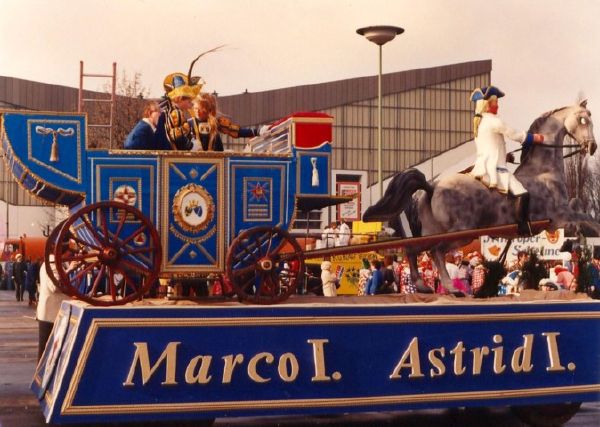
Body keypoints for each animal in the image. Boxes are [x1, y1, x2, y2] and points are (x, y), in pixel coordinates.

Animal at [364, 102, 596, 292]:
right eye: (583, 119)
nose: (592, 146)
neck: (543, 170)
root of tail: (432, 186)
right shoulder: (559, 219)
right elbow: (589, 221)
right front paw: (577, 249)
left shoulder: (561, 218)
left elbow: (584, 219)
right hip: (462, 232)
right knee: (436, 252)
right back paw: (451, 287)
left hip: (433, 231)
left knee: (414, 250)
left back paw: (422, 285)